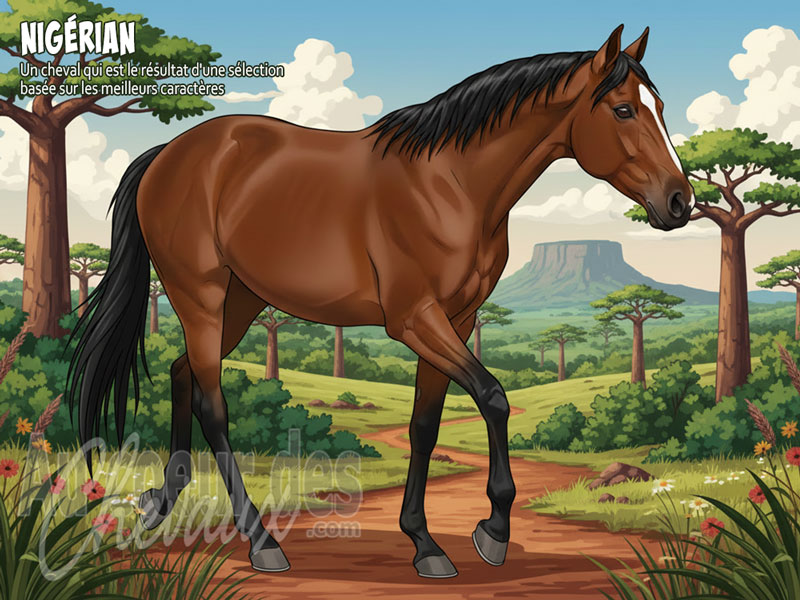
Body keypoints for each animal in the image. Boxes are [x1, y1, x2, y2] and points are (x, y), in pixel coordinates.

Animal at [66, 24, 693, 578]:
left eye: (659, 106)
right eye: (623, 110)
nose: (680, 202)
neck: (450, 184)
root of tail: (169, 154)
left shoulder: (456, 319)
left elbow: (425, 425)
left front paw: (424, 543)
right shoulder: (416, 319)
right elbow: (493, 398)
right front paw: (492, 531)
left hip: (239, 301)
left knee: (181, 375)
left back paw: (162, 502)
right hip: (200, 293)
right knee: (212, 404)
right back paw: (262, 542)